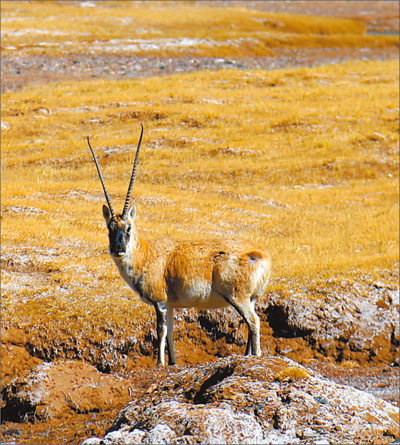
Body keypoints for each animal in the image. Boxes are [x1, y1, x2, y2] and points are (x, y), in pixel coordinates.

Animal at [86, 124, 270, 364]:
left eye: (128, 228)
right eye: (110, 228)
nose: (118, 249)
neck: (146, 253)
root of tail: (259, 254)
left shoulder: (160, 303)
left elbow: (161, 331)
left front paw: (159, 363)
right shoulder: (171, 306)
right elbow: (172, 332)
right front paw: (172, 363)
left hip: (237, 297)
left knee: (254, 321)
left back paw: (255, 356)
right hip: (250, 298)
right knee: (250, 323)